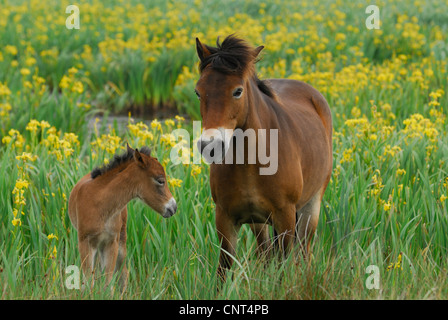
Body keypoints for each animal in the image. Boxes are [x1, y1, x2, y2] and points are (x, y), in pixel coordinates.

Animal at [196, 34, 332, 280]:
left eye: (237, 91)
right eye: (198, 92)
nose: (210, 146)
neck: (250, 164)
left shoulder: (285, 215)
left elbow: (284, 266)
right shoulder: (225, 218)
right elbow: (224, 268)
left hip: (310, 207)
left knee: (303, 252)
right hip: (258, 222)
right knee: (266, 252)